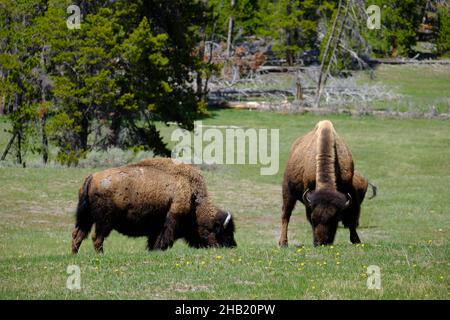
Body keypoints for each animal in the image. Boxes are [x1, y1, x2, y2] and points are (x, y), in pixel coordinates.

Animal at [71, 159, 236, 254]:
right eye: (224, 232)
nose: (232, 246)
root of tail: (92, 177)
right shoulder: (170, 219)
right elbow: (163, 237)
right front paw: (159, 249)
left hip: (86, 218)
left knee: (78, 234)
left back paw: (75, 254)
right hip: (104, 222)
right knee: (96, 237)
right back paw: (100, 254)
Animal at [280, 120, 374, 248]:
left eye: (334, 219)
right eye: (313, 219)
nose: (321, 243)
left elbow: (351, 218)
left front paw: (356, 240)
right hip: (288, 192)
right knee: (286, 215)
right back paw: (283, 243)